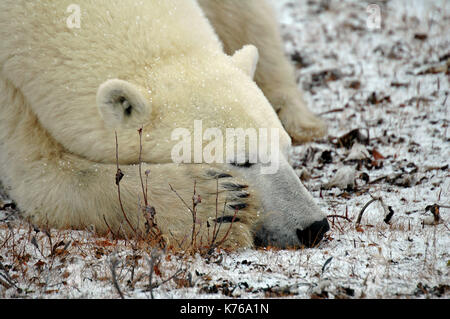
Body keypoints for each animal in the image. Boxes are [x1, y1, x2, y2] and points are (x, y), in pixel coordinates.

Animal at [0, 0, 330, 250]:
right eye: (242, 159)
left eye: (285, 149)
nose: (314, 227)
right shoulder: (9, 91)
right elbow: (44, 176)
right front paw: (217, 207)